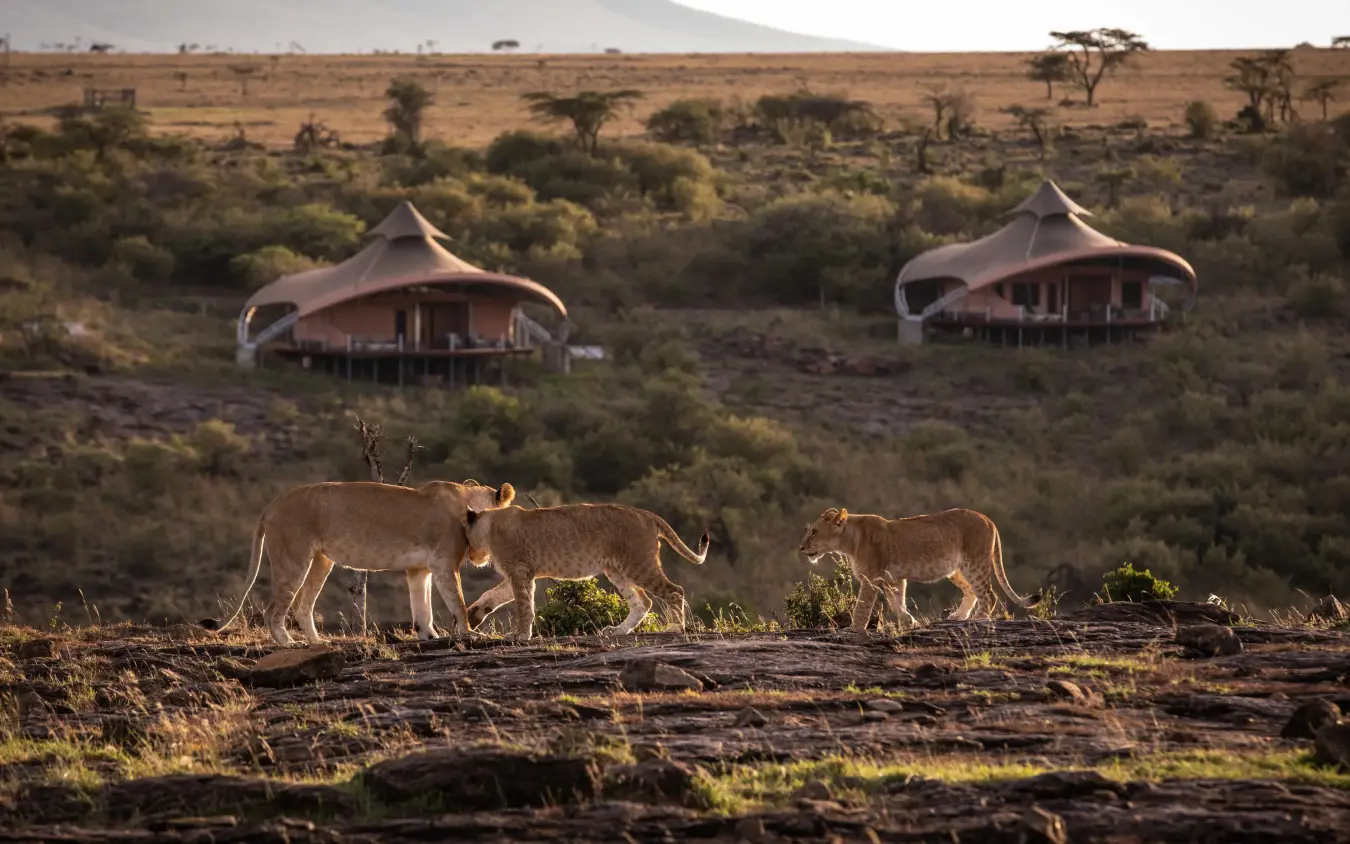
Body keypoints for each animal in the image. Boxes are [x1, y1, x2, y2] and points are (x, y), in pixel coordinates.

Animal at [201, 480, 516, 646]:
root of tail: (273, 503)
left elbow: (421, 606)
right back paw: (290, 644)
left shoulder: (419, 569)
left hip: (320, 561)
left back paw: (318, 643)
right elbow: (458, 603)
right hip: (293, 558)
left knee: (303, 606)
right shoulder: (443, 563)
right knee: (273, 610)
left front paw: (428, 635)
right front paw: (469, 634)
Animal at [462, 502, 710, 641]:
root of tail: (647, 514)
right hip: (616, 569)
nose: (471, 558)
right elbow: (493, 594)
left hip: (638, 563)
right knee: (643, 601)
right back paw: (617, 631)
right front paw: (473, 614)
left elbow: (524, 605)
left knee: (675, 590)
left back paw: (676, 627)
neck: (490, 523)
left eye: (465, 540)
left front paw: (521, 635)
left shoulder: (520, 570)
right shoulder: (521, 572)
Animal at [797, 507, 1041, 630]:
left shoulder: (872, 577)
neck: (849, 540)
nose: (801, 547)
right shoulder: (894, 578)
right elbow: (897, 602)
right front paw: (909, 621)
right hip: (957, 568)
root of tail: (988, 519)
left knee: (989, 595)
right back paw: (957, 616)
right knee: (972, 592)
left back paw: (977, 618)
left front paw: (854, 629)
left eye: (814, 532)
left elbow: (862, 606)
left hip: (975, 562)